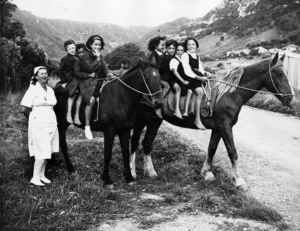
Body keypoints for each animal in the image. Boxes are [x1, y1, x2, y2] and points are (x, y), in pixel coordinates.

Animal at [50, 60, 162, 189]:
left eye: (159, 77)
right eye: (147, 78)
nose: (159, 103)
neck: (121, 96)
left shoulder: (125, 130)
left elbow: (125, 152)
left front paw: (129, 177)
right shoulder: (109, 131)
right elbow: (107, 154)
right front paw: (107, 179)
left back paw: (53, 162)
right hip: (61, 124)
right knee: (63, 144)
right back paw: (70, 169)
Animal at [129, 52, 292, 189]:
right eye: (278, 73)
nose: (291, 98)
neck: (228, 93)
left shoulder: (218, 128)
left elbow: (211, 148)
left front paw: (206, 173)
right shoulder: (225, 126)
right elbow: (232, 152)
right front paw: (239, 180)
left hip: (152, 121)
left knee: (144, 143)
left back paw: (146, 171)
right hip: (148, 121)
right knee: (140, 142)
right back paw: (138, 172)